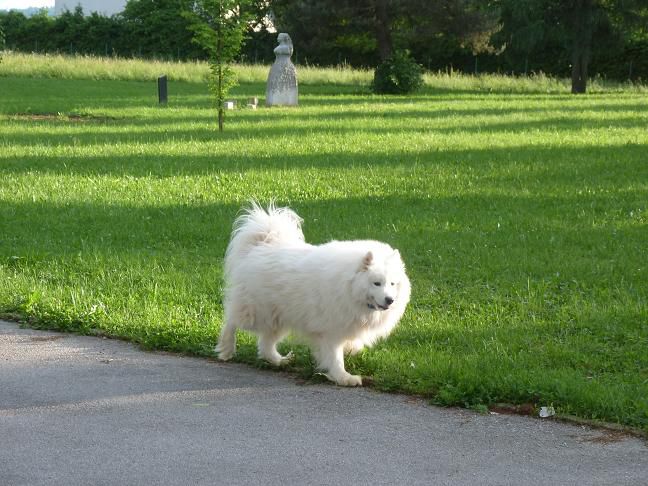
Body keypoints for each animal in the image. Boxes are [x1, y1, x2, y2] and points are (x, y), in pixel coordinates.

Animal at [216, 203, 410, 386]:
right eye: (377, 283)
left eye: (392, 283)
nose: (390, 300)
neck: (350, 287)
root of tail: (260, 244)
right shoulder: (331, 329)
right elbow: (335, 357)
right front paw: (344, 377)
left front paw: (351, 349)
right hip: (256, 312)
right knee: (232, 321)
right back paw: (226, 348)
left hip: (279, 317)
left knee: (265, 346)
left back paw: (280, 361)